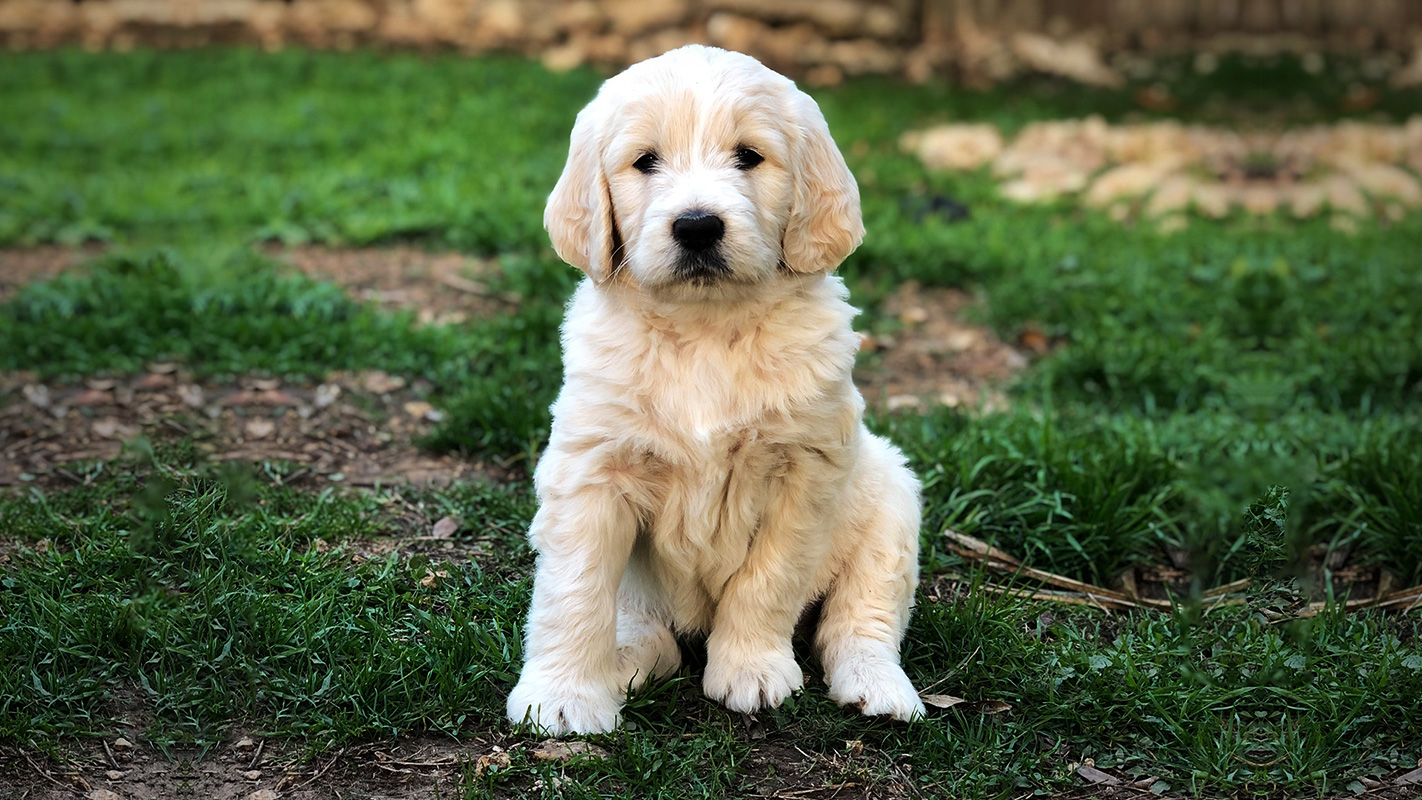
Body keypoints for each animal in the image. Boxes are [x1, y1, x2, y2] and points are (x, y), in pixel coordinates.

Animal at [506, 42, 927, 733]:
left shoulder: (805, 471)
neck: (705, 326)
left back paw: (880, 686)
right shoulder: (592, 470)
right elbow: (574, 590)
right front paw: (562, 696)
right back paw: (623, 661)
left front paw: (751, 669)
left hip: (890, 498)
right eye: (645, 161)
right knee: (648, 630)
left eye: (749, 156)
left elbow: (770, 579)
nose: (698, 226)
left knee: (861, 618)